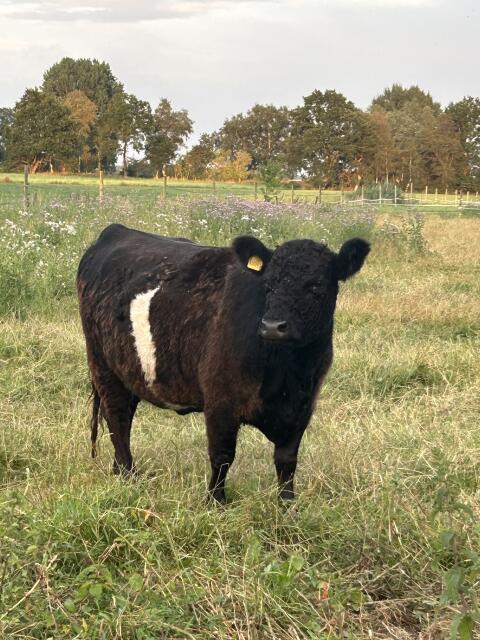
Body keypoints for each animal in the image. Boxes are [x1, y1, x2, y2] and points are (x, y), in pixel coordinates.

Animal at [77, 224, 369, 503]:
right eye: (268, 285)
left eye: (316, 287)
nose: (272, 326)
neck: (288, 373)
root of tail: (116, 230)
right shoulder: (220, 400)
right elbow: (222, 454)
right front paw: (215, 501)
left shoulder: (303, 406)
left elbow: (287, 461)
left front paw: (287, 505)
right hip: (101, 363)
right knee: (117, 418)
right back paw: (129, 475)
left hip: (128, 371)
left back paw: (118, 470)